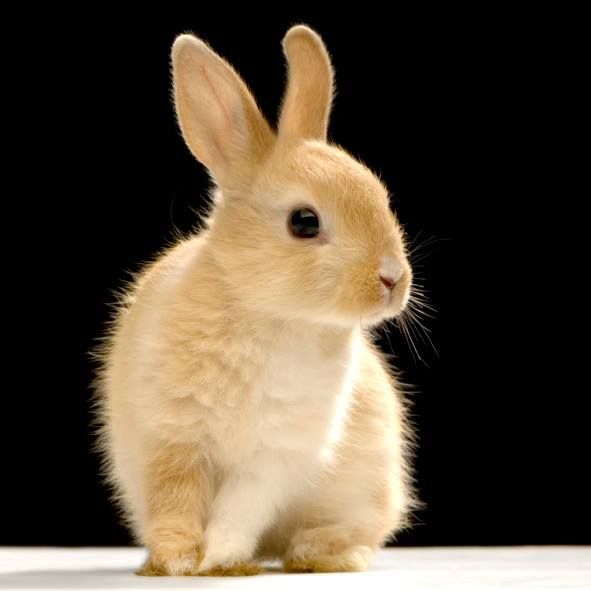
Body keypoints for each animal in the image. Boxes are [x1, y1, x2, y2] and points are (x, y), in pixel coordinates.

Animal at [97, 25, 418, 576]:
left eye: (381, 198)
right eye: (304, 222)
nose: (393, 279)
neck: (266, 314)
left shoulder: (273, 458)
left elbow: (238, 510)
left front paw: (217, 558)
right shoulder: (174, 439)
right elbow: (175, 501)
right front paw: (177, 561)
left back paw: (317, 553)